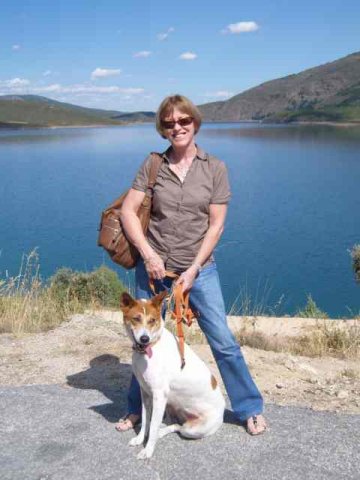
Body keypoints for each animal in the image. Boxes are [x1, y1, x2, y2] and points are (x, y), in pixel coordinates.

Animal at [121, 290, 225, 460]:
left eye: (152, 320)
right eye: (136, 318)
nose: (144, 339)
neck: (150, 348)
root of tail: (222, 411)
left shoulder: (159, 396)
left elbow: (152, 425)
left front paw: (148, 450)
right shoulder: (145, 393)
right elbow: (145, 420)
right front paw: (140, 438)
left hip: (193, 430)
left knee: (178, 427)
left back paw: (160, 432)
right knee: (174, 423)